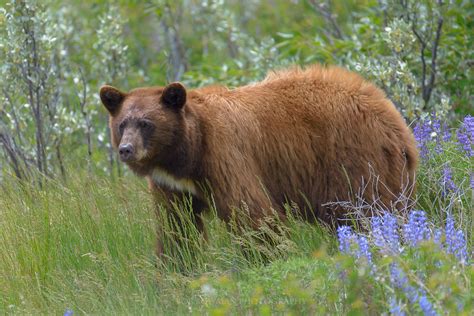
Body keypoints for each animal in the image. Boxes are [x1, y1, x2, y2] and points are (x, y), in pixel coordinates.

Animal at [100, 64, 418, 254]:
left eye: (146, 123)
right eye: (122, 124)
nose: (126, 149)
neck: (187, 154)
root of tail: (398, 124)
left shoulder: (226, 154)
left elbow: (253, 215)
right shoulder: (172, 185)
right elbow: (176, 226)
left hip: (356, 160)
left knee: (371, 211)